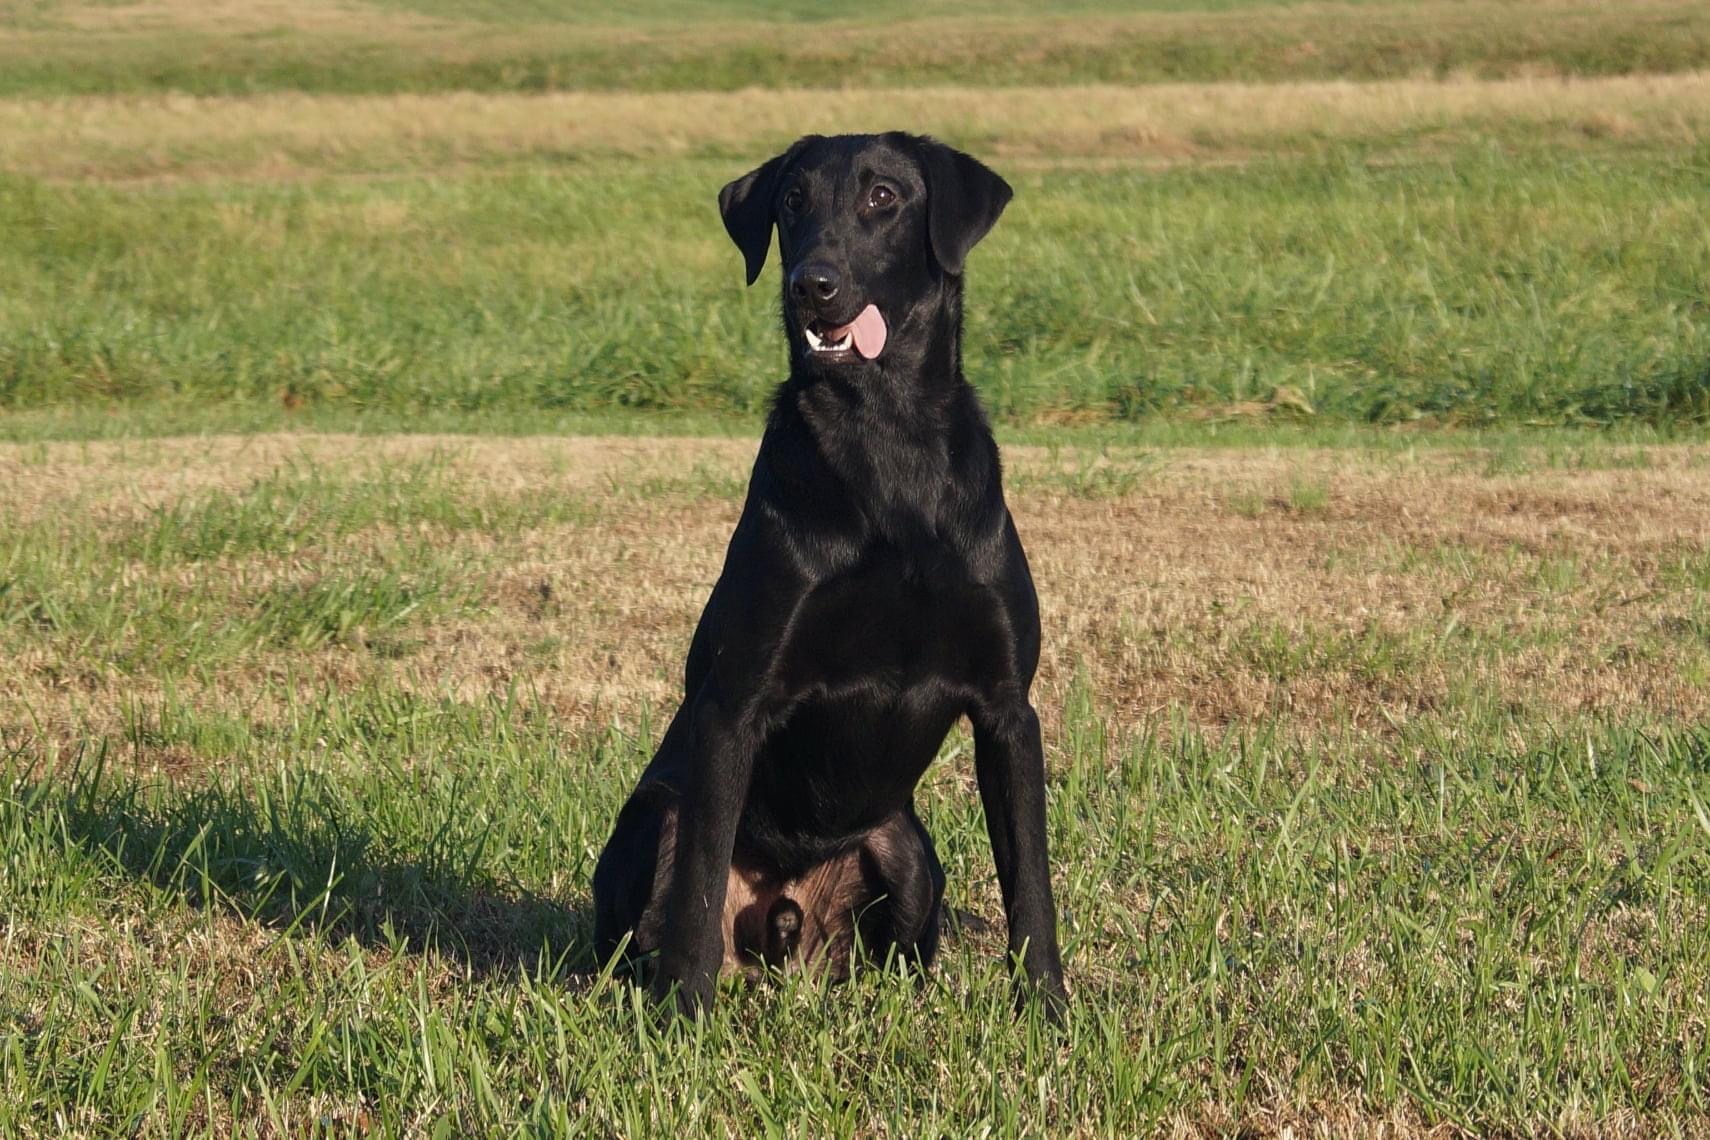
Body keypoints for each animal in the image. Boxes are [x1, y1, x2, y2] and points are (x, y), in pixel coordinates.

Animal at [595, 134, 1060, 1018]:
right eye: (791, 202)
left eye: (883, 197)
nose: (810, 283)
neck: (886, 438)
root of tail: (783, 924)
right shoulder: (733, 708)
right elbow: (697, 892)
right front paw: (684, 1018)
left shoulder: (1008, 712)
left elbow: (1031, 886)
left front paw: (1049, 1012)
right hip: (652, 817)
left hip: (907, 849)